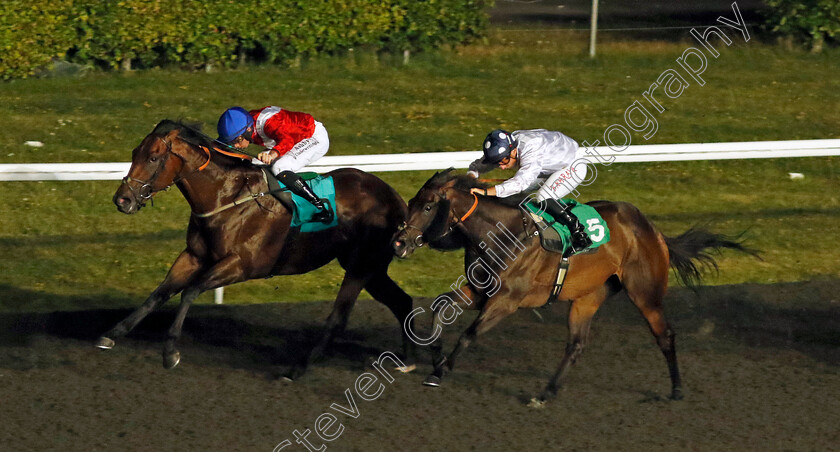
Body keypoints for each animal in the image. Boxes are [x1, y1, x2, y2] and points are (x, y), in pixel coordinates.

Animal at [100, 119, 416, 378]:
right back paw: (407, 359)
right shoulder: (194, 256)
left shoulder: (242, 264)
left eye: (153, 157)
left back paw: (297, 369)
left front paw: (170, 353)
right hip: (366, 266)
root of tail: (398, 200)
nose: (122, 200)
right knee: (402, 302)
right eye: (134, 153)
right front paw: (112, 333)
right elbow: (159, 293)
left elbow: (190, 291)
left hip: (361, 265)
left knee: (339, 317)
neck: (226, 197)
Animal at [394, 170, 756, 406]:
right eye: (411, 201)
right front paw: (435, 354)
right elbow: (440, 306)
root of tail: (651, 229)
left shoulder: (507, 301)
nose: (398, 242)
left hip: (645, 293)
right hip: (587, 297)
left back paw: (677, 391)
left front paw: (441, 371)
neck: (500, 233)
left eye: (428, 207)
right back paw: (545, 393)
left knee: (665, 335)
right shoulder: (479, 290)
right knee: (576, 345)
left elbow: (469, 334)